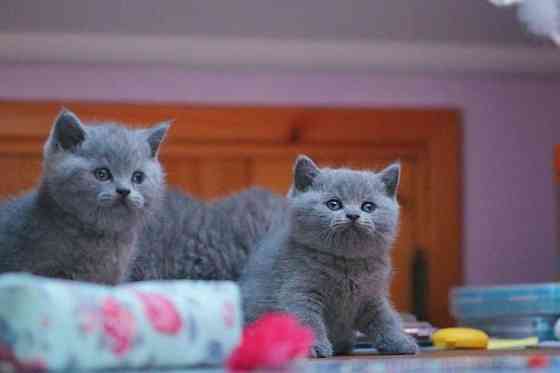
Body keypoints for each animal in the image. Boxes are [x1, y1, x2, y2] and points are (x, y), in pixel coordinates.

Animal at [241, 155, 420, 358]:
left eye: (368, 206)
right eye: (333, 204)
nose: (353, 215)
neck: (347, 263)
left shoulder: (372, 296)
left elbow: (386, 318)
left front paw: (401, 341)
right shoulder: (299, 291)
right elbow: (307, 320)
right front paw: (315, 346)